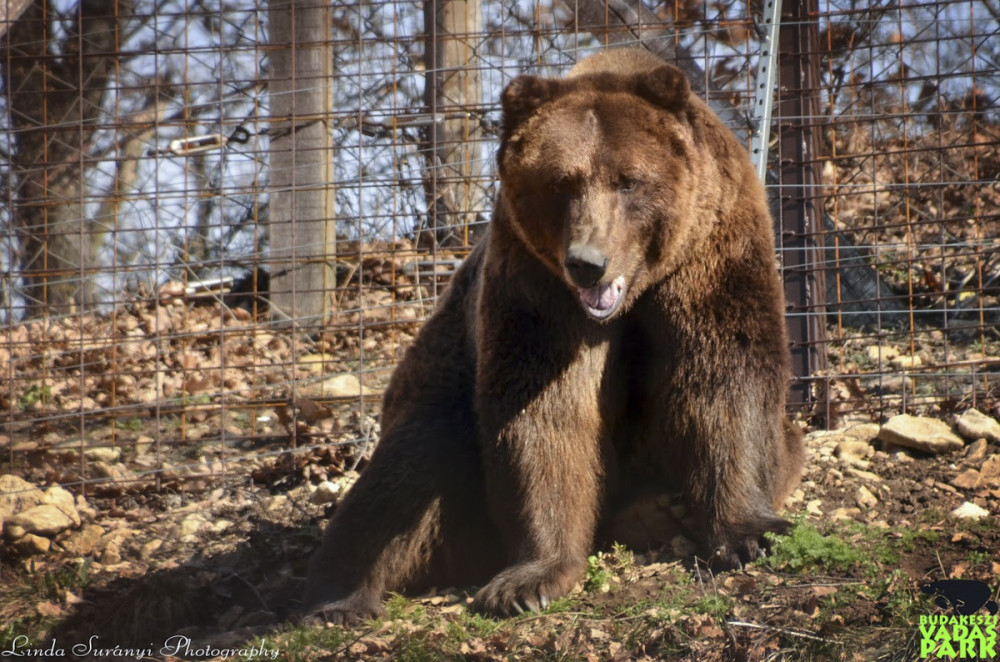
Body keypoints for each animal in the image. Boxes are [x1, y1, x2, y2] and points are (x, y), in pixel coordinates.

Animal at [304, 49, 804, 624]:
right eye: (561, 183)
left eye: (628, 181)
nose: (587, 262)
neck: (634, 294)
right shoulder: (535, 286)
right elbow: (546, 412)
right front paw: (529, 580)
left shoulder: (712, 252)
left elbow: (724, 373)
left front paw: (749, 534)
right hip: (438, 396)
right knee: (406, 469)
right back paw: (339, 600)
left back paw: (661, 508)